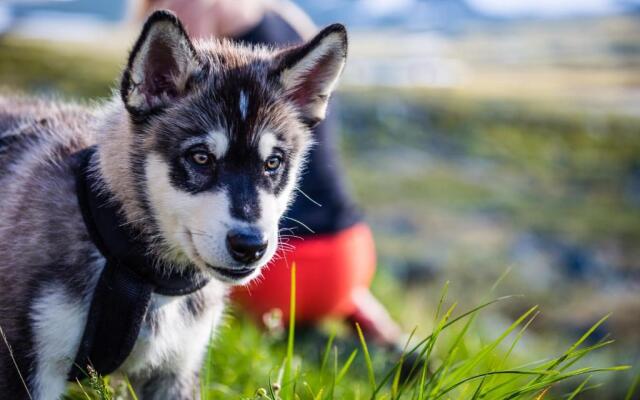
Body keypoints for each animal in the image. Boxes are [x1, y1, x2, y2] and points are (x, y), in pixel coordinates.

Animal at [0, 9, 348, 400]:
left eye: (272, 163)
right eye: (200, 158)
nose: (250, 246)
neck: (141, 271)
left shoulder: (176, 371)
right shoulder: (28, 367)